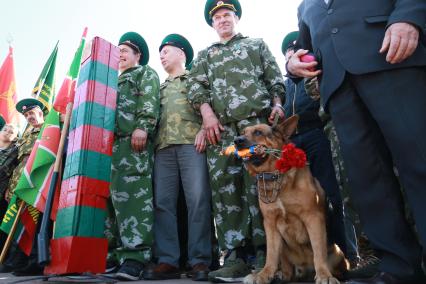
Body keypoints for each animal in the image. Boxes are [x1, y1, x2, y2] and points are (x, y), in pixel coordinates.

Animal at [238, 116, 348, 284]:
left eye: (258, 132)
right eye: (243, 132)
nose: (236, 140)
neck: (277, 177)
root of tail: (304, 268)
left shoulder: (313, 218)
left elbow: (318, 251)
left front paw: (324, 275)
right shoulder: (270, 223)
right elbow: (271, 255)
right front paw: (263, 275)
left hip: (337, 252)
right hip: (284, 248)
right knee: (286, 267)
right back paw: (278, 274)